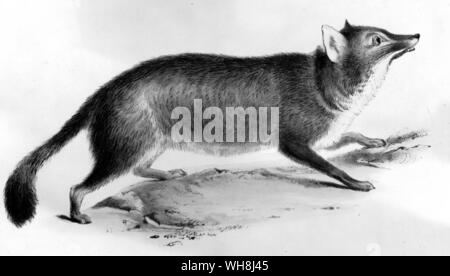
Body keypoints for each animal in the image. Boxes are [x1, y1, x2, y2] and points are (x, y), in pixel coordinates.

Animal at [4, 20, 418, 225]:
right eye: (377, 39)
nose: (415, 34)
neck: (324, 82)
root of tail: (103, 91)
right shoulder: (296, 140)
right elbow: (332, 167)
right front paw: (358, 182)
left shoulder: (327, 133)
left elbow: (350, 135)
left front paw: (374, 141)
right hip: (124, 147)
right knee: (80, 186)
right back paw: (77, 215)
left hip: (151, 142)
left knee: (140, 168)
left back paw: (168, 173)